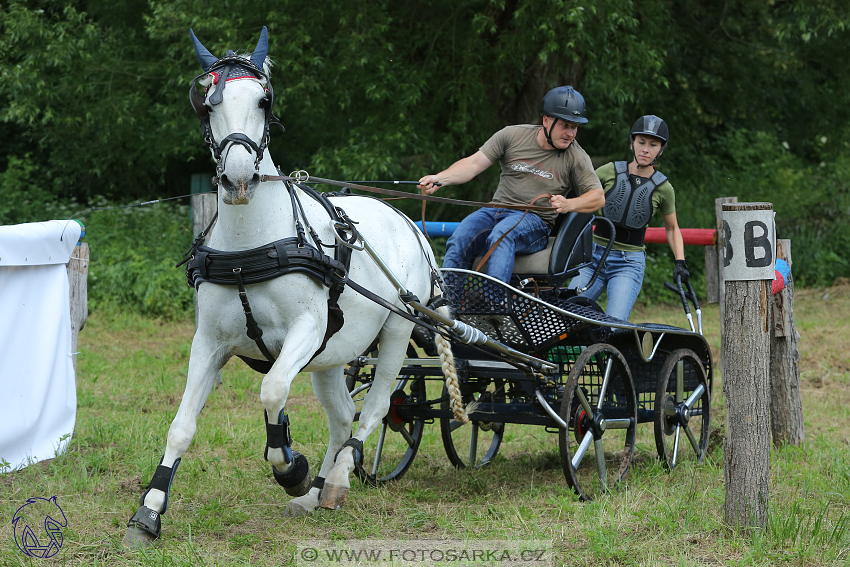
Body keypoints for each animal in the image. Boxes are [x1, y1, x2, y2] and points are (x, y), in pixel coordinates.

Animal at [121, 27, 458, 552]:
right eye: (206, 103)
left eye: (264, 100)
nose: (239, 178)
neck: (250, 248)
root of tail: (408, 220)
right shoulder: (209, 342)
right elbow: (181, 426)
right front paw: (149, 512)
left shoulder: (305, 329)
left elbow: (273, 388)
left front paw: (290, 468)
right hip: (334, 354)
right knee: (342, 415)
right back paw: (317, 491)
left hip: (397, 331)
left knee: (377, 407)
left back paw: (334, 479)